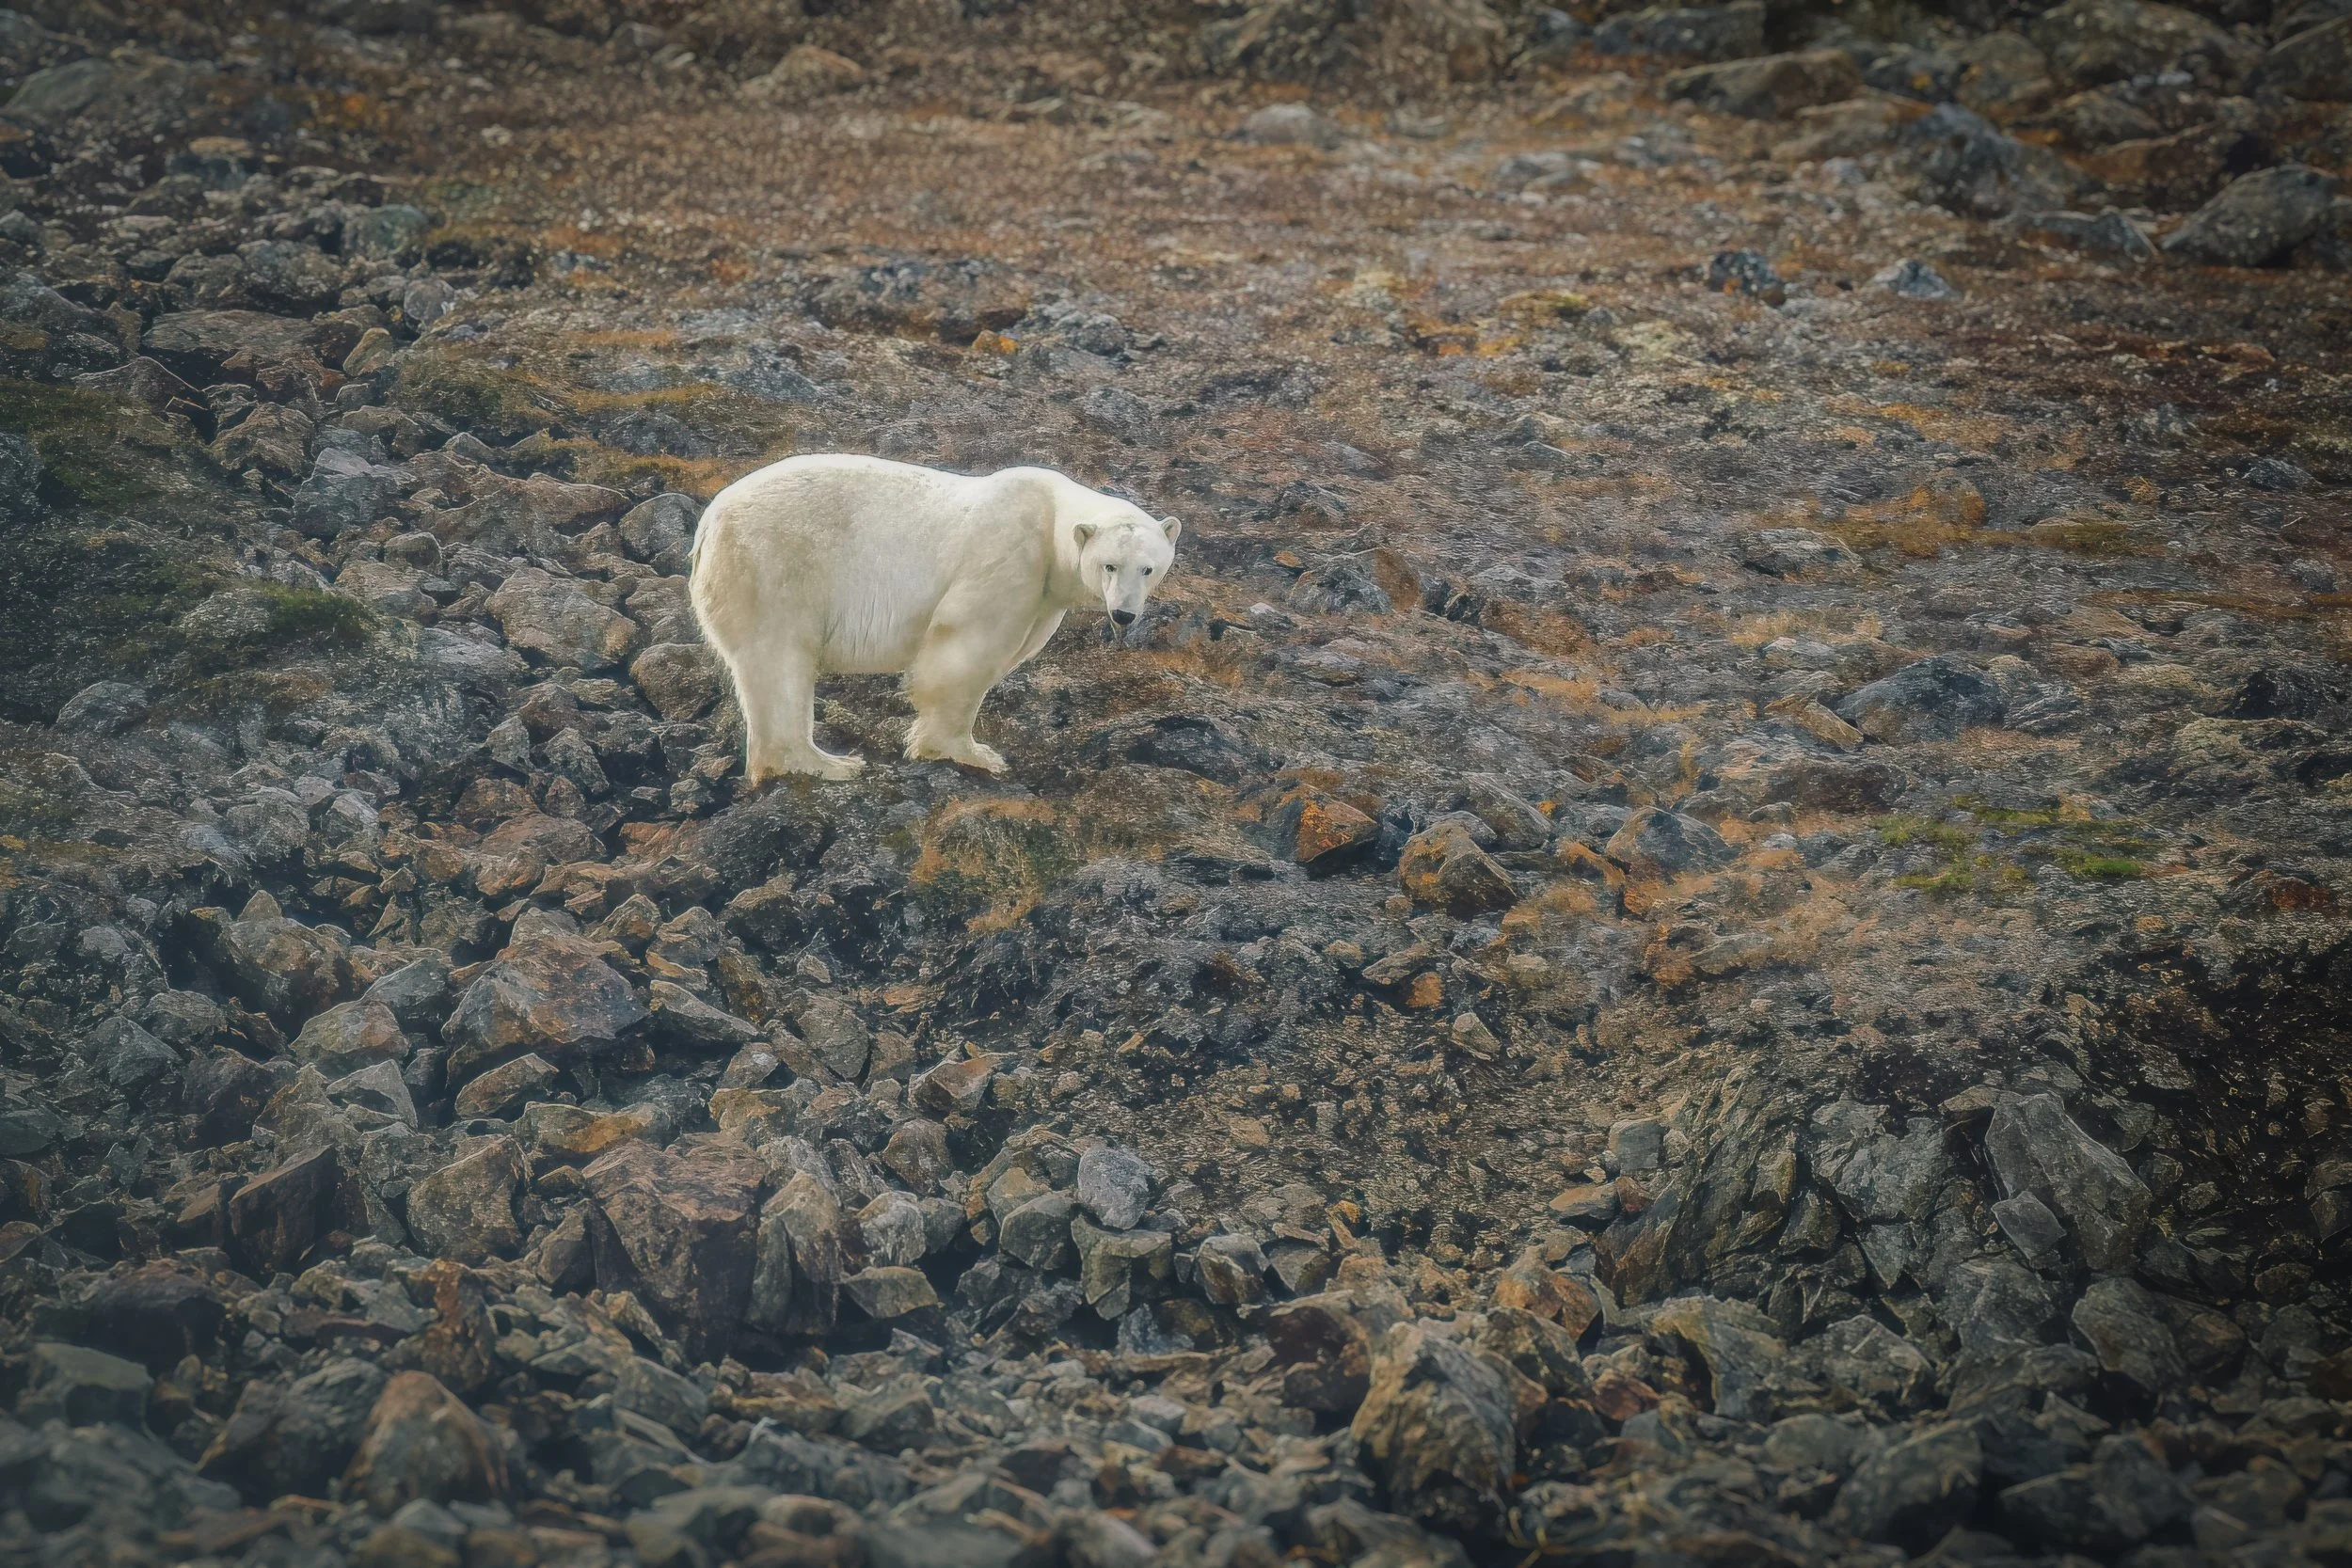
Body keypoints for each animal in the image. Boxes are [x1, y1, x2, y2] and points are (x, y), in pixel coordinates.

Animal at [689, 454, 1181, 782]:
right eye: (1109, 565)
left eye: (1148, 568)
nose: (1123, 614)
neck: (1050, 516)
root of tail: (709, 522)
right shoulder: (1010, 555)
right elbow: (965, 648)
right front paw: (971, 753)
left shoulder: (1045, 596)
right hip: (772, 564)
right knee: (780, 658)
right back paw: (827, 762)